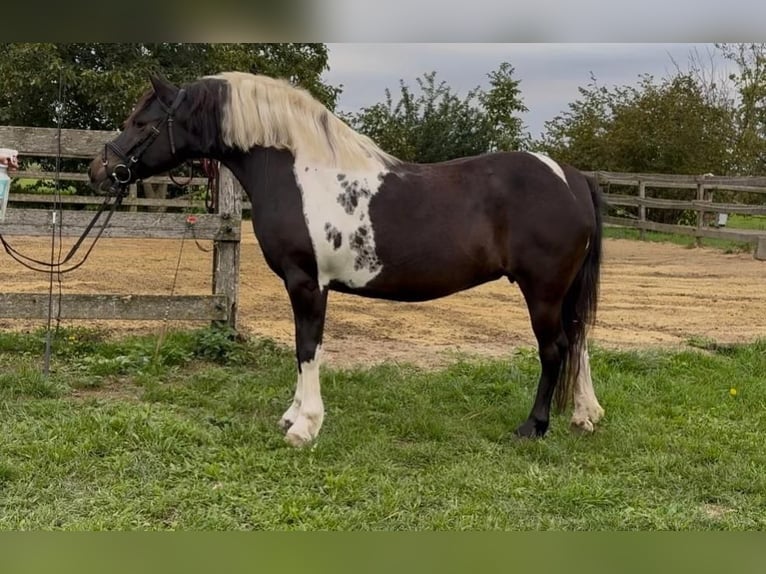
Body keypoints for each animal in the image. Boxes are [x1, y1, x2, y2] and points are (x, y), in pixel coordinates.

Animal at [89, 72, 605, 447]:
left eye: (141, 122)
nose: (99, 169)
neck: (300, 173)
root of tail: (573, 177)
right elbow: (302, 348)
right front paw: (292, 416)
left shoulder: (306, 282)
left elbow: (308, 347)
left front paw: (304, 427)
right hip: (563, 292)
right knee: (579, 342)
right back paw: (584, 416)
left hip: (543, 291)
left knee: (555, 349)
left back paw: (534, 426)